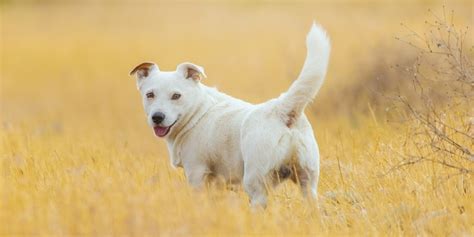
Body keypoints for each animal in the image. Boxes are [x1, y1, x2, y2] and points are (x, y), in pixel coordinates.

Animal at [130, 22, 330, 207]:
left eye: (176, 96)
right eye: (150, 95)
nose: (157, 117)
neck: (197, 112)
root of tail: (281, 109)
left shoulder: (196, 173)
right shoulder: (217, 182)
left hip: (255, 183)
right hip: (308, 183)